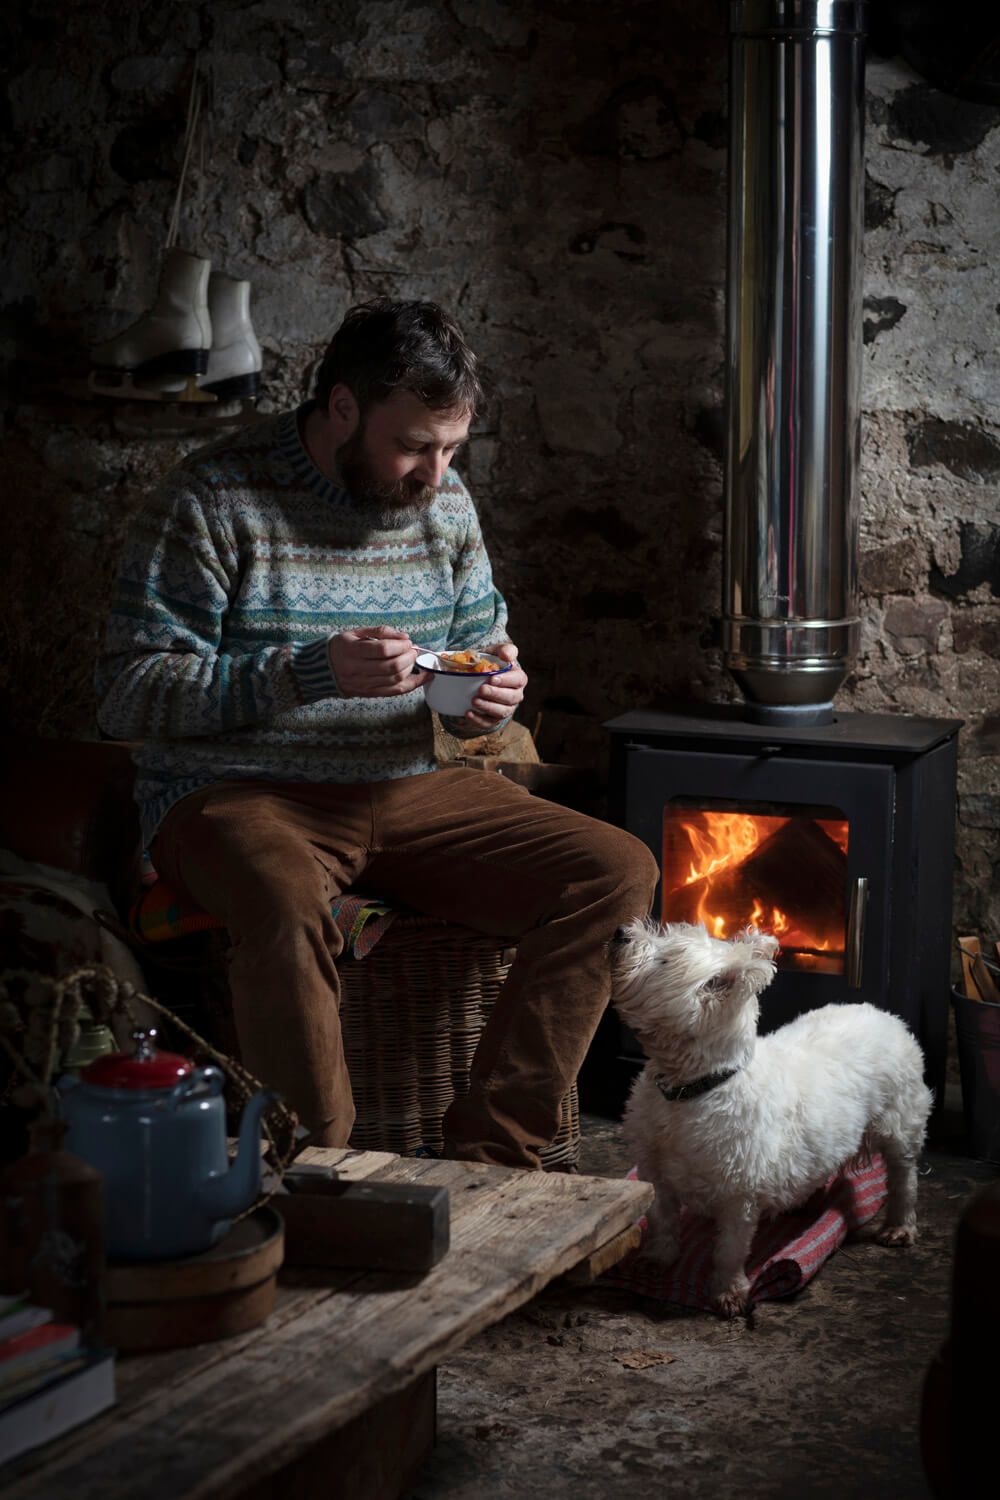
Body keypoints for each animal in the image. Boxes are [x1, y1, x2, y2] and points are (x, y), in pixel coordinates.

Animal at [614, 918, 935, 1320]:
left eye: (665, 960)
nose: (619, 933)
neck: (690, 1089)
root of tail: (886, 1015)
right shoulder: (656, 1171)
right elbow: (661, 1219)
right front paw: (656, 1259)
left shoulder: (739, 1191)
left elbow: (730, 1249)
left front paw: (728, 1293)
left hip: (900, 1119)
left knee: (903, 1174)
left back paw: (899, 1227)